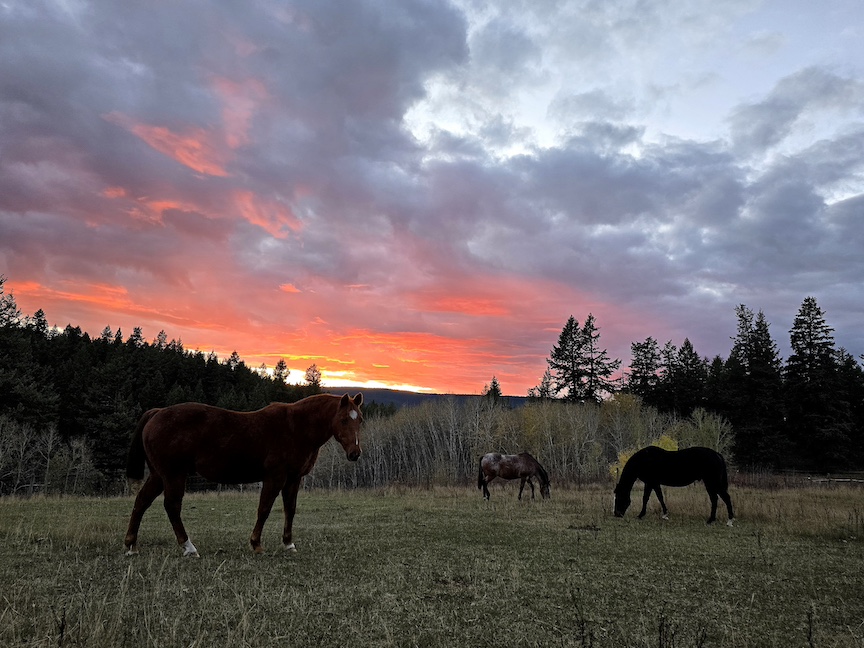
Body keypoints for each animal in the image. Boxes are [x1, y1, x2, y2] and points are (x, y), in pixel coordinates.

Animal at [123, 392, 363, 557]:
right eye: (344, 419)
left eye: (359, 419)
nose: (355, 453)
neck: (295, 427)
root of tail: (157, 412)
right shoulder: (275, 477)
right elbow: (264, 509)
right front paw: (256, 544)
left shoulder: (294, 479)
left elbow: (290, 510)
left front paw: (288, 544)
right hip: (173, 475)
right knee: (172, 506)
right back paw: (189, 547)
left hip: (159, 475)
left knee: (141, 502)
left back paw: (131, 546)